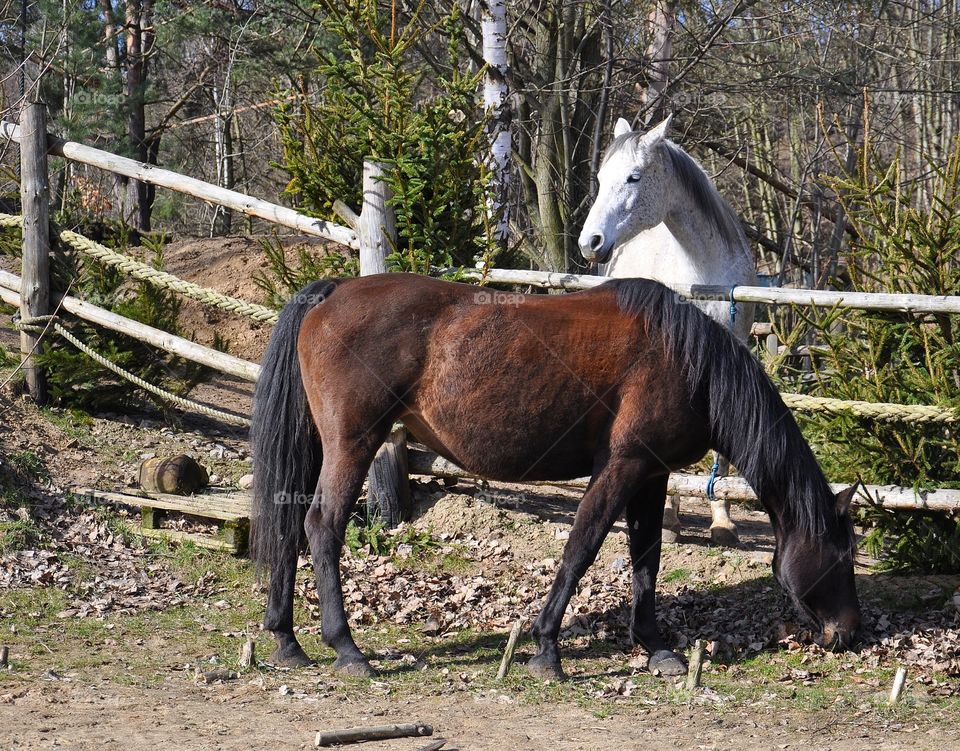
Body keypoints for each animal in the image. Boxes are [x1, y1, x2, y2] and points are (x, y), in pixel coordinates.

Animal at [249, 274, 864, 680]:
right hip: (352, 445)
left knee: (288, 524)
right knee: (322, 526)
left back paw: (286, 639)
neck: (689, 363)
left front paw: (656, 648)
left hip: (318, 447)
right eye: (842, 556)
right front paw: (547, 649)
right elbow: (581, 548)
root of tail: (331, 292)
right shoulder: (621, 468)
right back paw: (346, 648)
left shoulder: (651, 476)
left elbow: (646, 559)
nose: (850, 634)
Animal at [576, 114, 756, 548]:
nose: (590, 243)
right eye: (602, 178)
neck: (702, 273)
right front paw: (670, 520)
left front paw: (723, 521)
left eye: (634, 177)